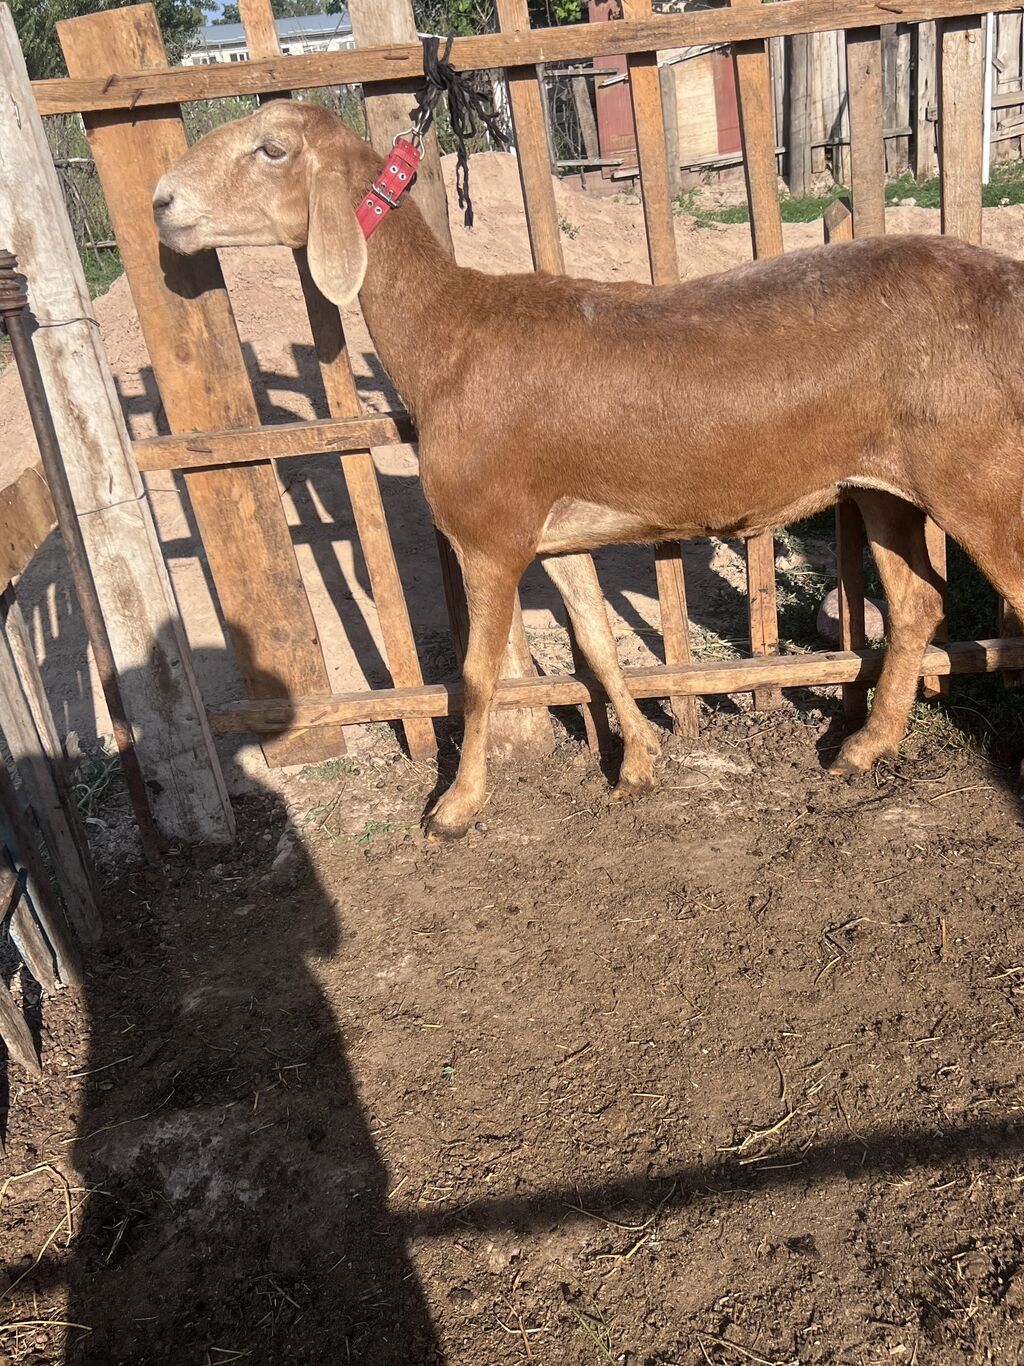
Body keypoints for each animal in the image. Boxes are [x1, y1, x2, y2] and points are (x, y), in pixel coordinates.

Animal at [153, 100, 1024, 838]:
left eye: (271, 148)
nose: (162, 202)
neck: (446, 339)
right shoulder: (554, 535)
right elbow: (598, 644)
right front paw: (639, 760)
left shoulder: (490, 534)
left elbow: (477, 675)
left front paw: (456, 806)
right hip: (886, 485)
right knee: (916, 603)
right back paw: (864, 747)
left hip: (981, 472)